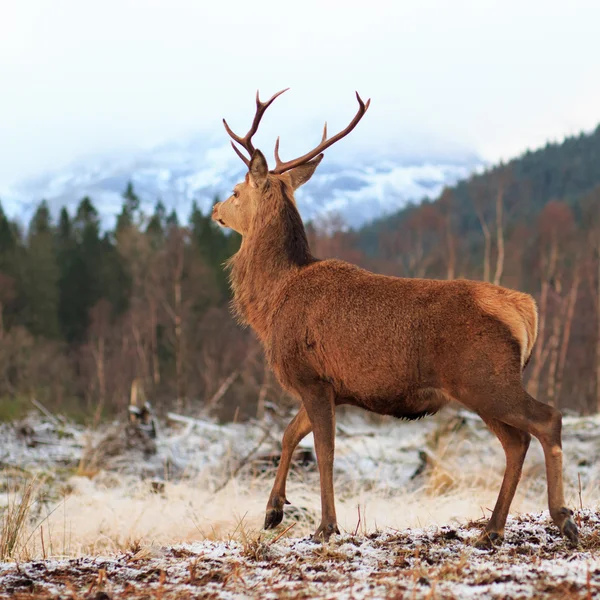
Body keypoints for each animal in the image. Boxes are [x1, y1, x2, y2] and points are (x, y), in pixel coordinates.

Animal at [210, 90, 576, 548]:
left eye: (236, 190)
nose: (214, 209)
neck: (272, 300)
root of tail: (526, 308)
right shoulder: (332, 385)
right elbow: (291, 433)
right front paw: (273, 511)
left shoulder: (309, 375)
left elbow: (325, 451)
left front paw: (326, 526)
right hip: (481, 384)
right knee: (516, 440)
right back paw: (492, 529)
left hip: (485, 377)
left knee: (546, 420)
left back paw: (562, 518)